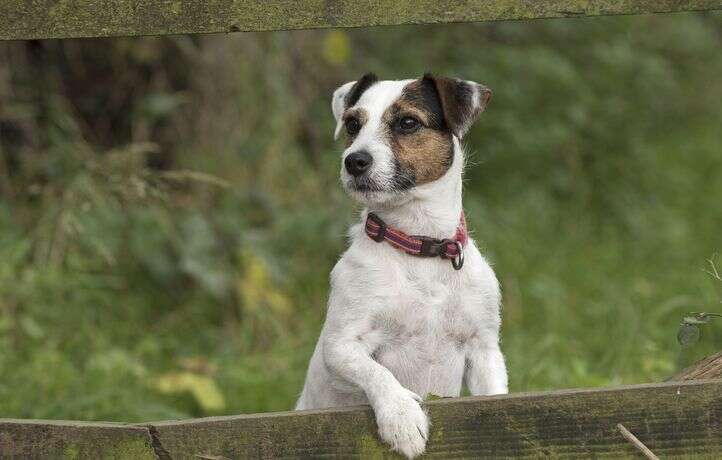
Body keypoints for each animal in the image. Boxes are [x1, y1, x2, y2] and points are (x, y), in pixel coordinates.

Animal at [292, 73, 506, 458]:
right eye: (353, 124)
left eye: (408, 122)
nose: (354, 161)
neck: (420, 247)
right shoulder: (342, 345)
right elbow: (378, 373)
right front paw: (402, 418)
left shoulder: (484, 349)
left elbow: (494, 394)